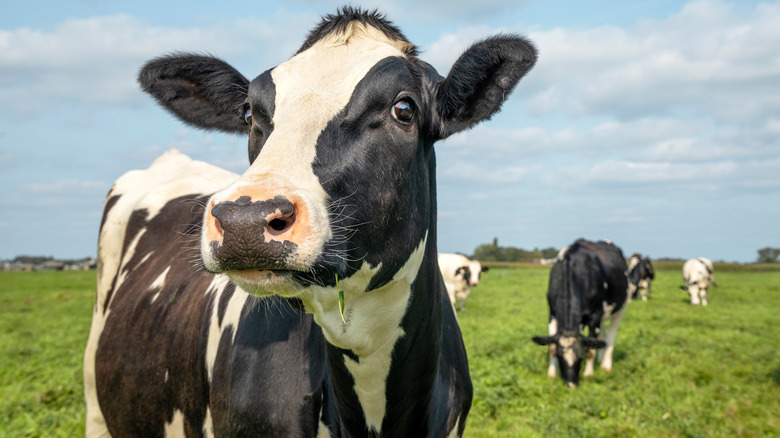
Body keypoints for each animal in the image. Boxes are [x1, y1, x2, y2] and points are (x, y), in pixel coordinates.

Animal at [532, 240, 632, 386]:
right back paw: (600, 359)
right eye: (559, 356)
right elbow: (551, 347)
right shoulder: (552, 313)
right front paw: (552, 374)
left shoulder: (594, 316)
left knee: (611, 335)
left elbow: (590, 349)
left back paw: (606, 365)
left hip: (621, 308)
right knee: (601, 335)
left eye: (580, 356)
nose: (571, 384)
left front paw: (588, 374)